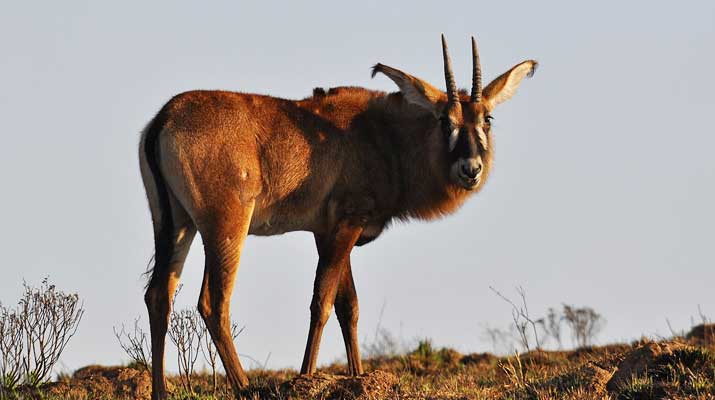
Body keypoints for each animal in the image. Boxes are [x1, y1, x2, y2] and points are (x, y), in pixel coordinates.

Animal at [140, 36, 536, 398]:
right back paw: (245, 388)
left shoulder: (328, 231)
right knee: (214, 302)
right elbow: (323, 302)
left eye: (487, 118)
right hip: (225, 226)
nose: (470, 169)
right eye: (444, 120)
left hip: (174, 225)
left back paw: (161, 392)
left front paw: (358, 378)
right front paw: (306, 378)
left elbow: (349, 307)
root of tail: (165, 117)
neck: (380, 136)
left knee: (159, 295)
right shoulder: (347, 222)